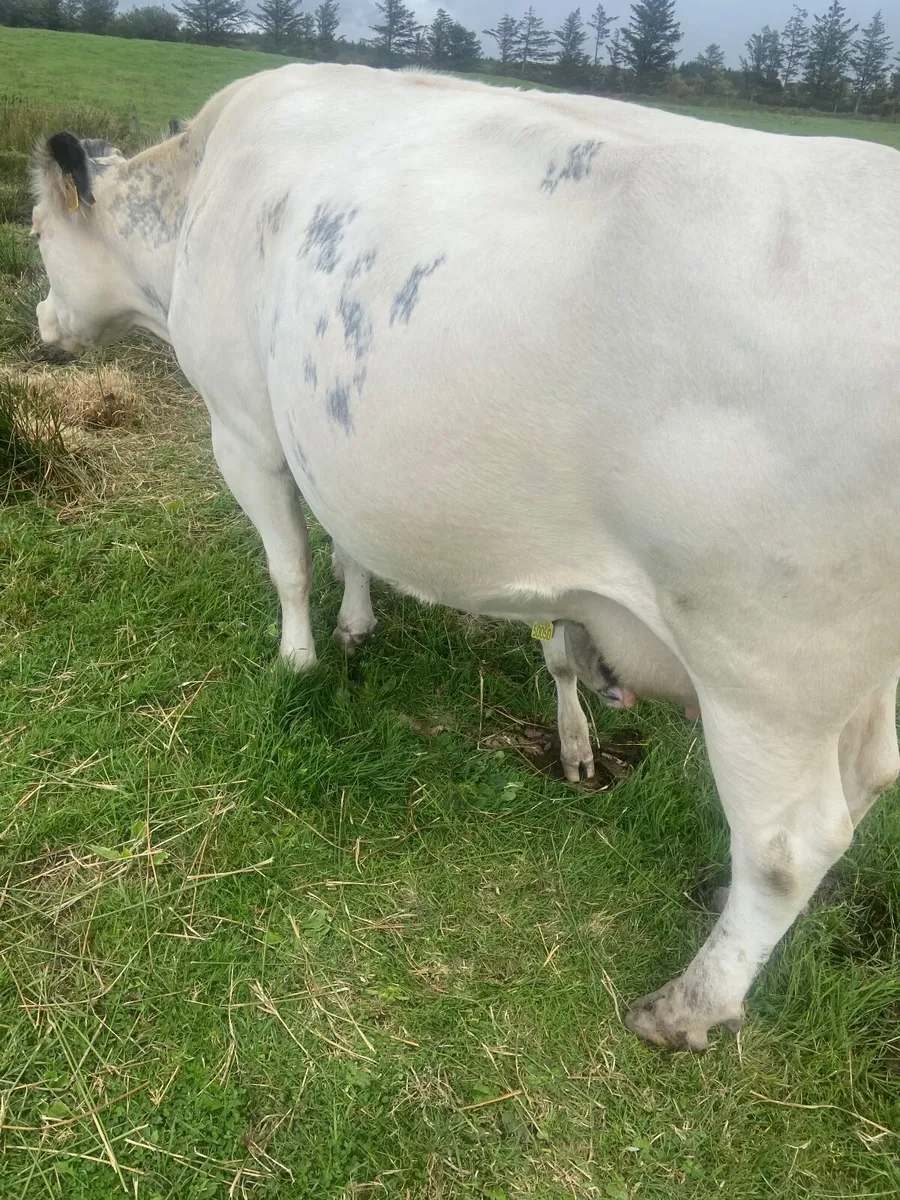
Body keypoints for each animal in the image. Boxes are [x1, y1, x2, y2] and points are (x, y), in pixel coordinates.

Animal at [31, 64, 900, 1050]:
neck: (195, 203)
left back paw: (688, 1005)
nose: (41, 322)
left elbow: (289, 561)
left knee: (791, 843)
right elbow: (350, 543)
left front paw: (297, 661)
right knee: (868, 780)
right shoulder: (337, 447)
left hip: (766, 660)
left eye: (36, 234)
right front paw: (357, 623)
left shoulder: (244, 423)